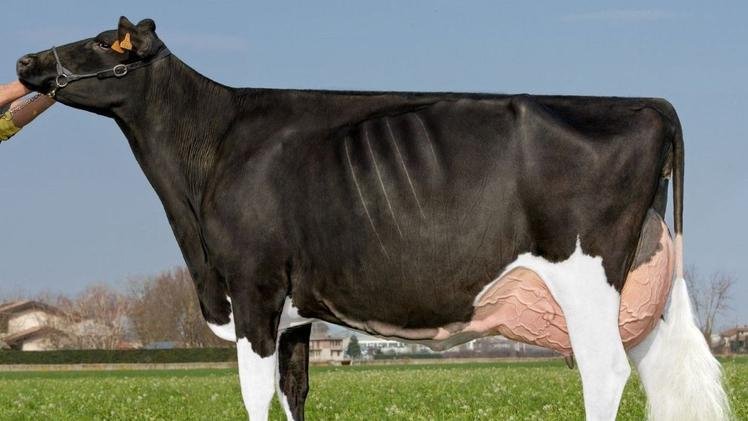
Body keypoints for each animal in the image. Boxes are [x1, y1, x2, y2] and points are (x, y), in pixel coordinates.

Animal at [16, 16, 730, 421]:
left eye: (105, 41)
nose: (27, 62)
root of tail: (644, 103)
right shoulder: (294, 311)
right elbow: (294, 392)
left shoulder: (252, 286)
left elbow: (254, 394)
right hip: (642, 288)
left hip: (586, 278)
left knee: (603, 373)